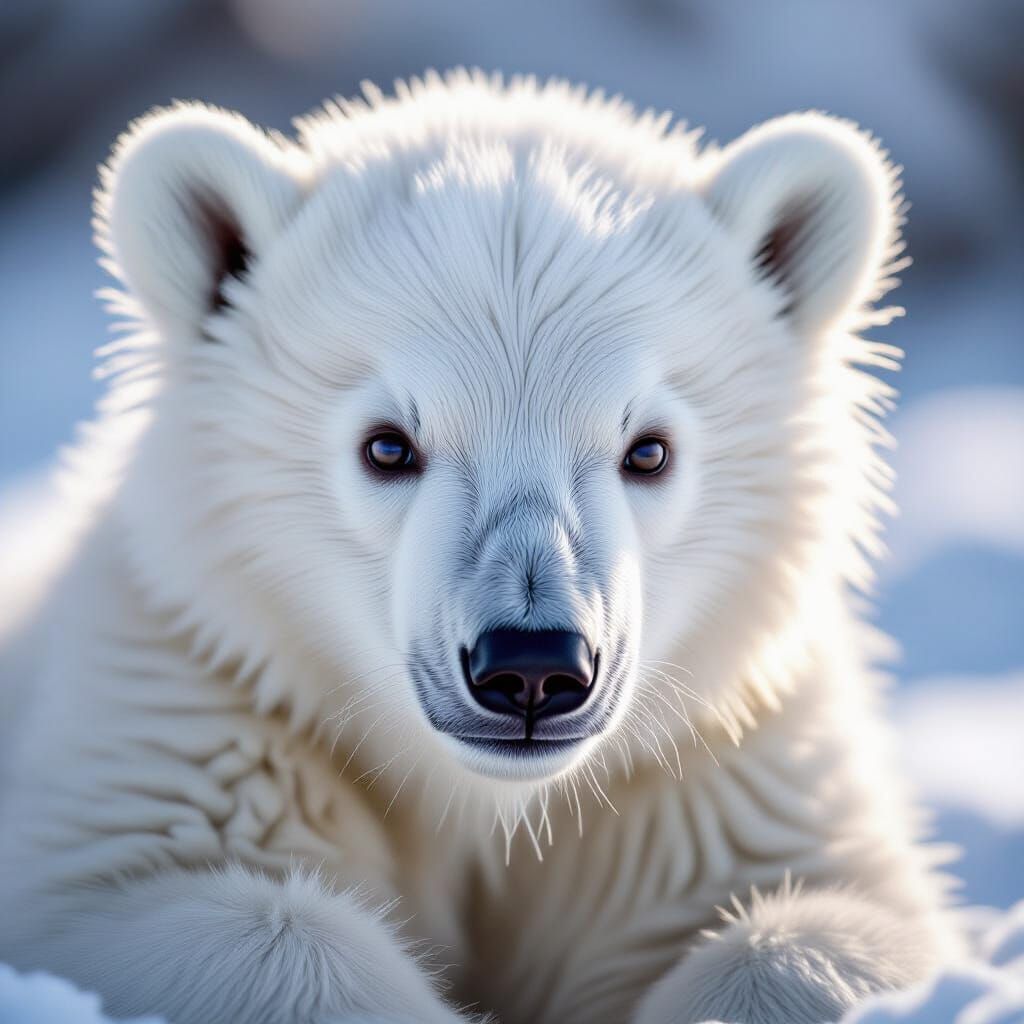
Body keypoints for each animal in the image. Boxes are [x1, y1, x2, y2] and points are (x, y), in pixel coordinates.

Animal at [0, 70, 961, 1024]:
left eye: (649, 450)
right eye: (389, 445)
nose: (532, 666)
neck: (491, 803)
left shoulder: (718, 762)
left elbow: (817, 916)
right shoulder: (198, 704)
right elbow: (194, 906)